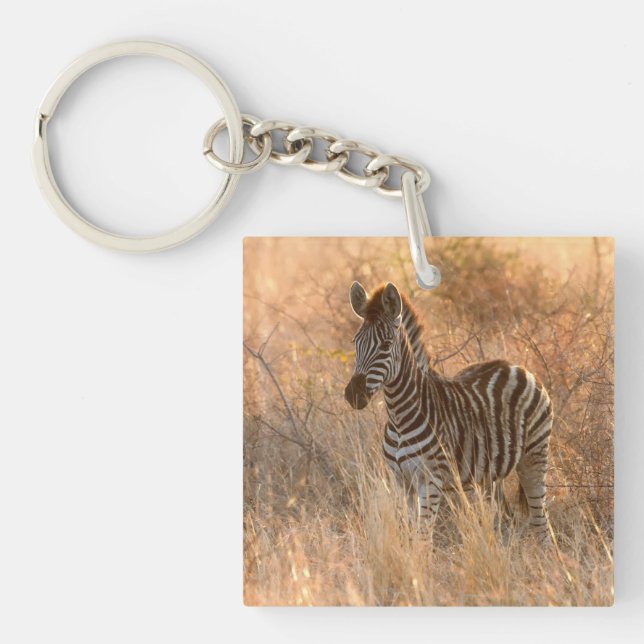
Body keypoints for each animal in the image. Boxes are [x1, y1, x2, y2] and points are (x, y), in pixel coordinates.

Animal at [344, 281, 553, 538]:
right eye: (355, 343)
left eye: (385, 345)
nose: (353, 395)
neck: (399, 417)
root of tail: (518, 366)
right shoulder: (402, 482)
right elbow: (410, 535)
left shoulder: (430, 482)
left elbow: (422, 539)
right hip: (490, 474)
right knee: (506, 518)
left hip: (534, 456)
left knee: (542, 524)